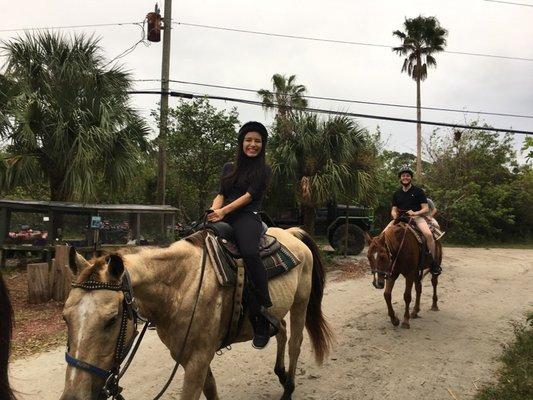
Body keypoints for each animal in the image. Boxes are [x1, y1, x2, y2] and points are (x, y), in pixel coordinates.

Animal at [60, 228, 330, 400]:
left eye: (112, 320)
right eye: (65, 318)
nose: (74, 397)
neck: (181, 286)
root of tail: (292, 233)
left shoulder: (197, 361)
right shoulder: (189, 357)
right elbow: (211, 391)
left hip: (301, 302)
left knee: (295, 342)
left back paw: (288, 388)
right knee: (281, 330)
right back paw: (281, 374)